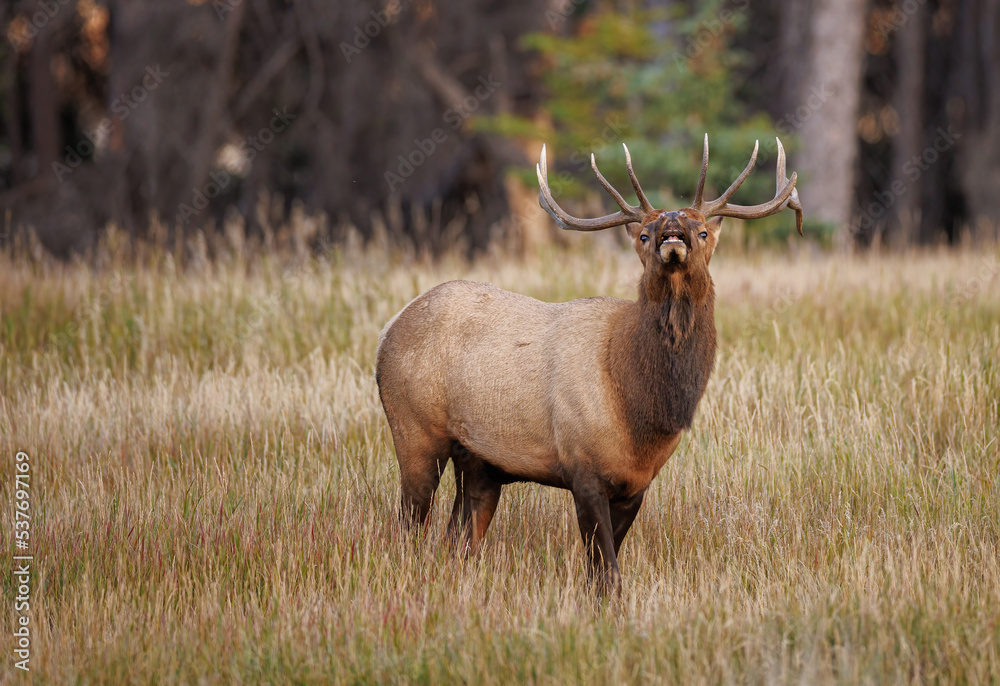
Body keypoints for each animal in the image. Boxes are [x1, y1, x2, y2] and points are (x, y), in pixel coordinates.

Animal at [376, 134, 803, 594]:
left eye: (703, 230)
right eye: (644, 235)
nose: (672, 224)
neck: (638, 407)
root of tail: (388, 330)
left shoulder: (637, 483)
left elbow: (601, 568)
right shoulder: (582, 467)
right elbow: (607, 573)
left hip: (479, 463)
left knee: (457, 540)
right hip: (415, 431)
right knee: (409, 526)